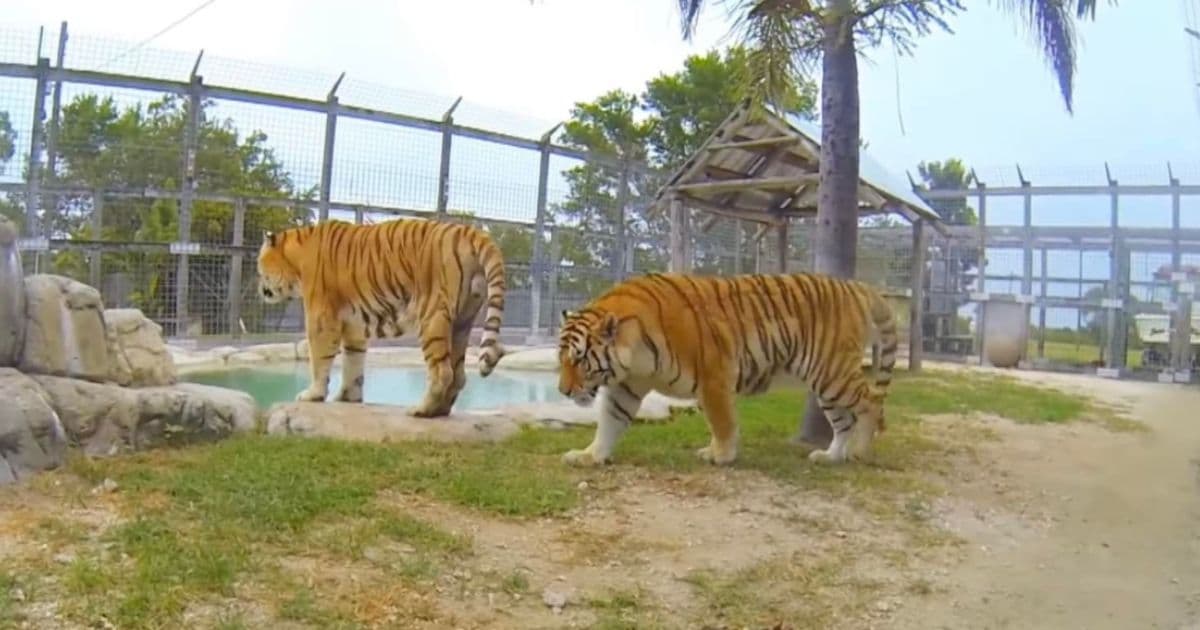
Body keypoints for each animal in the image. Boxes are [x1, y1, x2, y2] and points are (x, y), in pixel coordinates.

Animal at [256, 217, 507, 417]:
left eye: (260, 267)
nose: (260, 289)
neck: (297, 256)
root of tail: (469, 231)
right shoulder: (354, 326)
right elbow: (353, 362)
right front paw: (347, 398)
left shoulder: (321, 318)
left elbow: (319, 359)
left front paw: (313, 395)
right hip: (462, 322)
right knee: (459, 375)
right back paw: (440, 411)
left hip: (432, 318)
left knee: (443, 373)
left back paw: (421, 410)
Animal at [556, 271, 897, 467]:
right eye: (562, 360)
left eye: (579, 359)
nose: (563, 390)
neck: (634, 355)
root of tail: (855, 286)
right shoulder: (625, 387)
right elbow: (609, 423)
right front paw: (590, 456)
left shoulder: (714, 376)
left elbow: (722, 422)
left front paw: (720, 455)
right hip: (825, 384)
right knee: (844, 421)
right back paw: (830, 456)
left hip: (832, 372)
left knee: (871, 401)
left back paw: (860, 451)